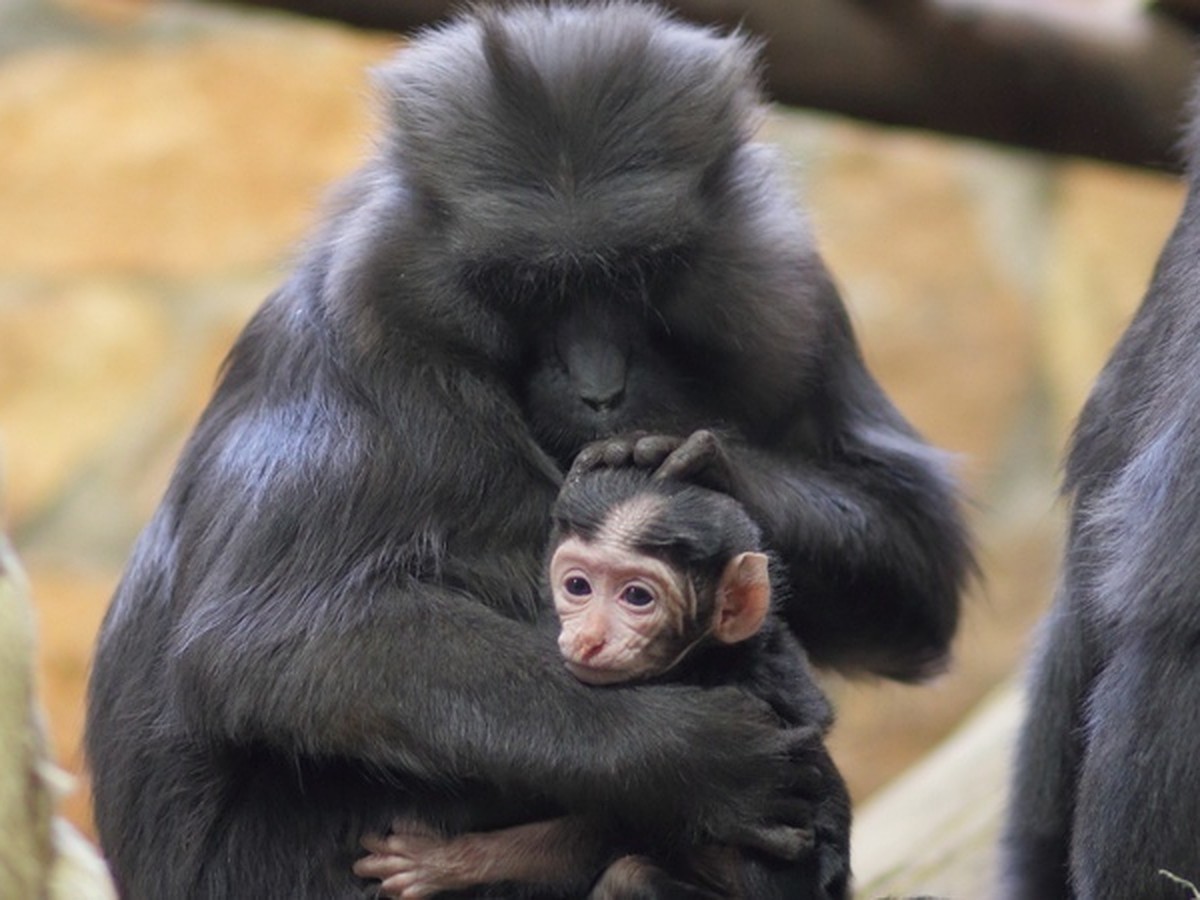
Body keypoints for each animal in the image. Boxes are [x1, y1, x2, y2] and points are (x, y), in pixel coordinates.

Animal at [355, 468, 854, 897]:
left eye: (636, 596)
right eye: (578, 586)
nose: (589, 637)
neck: (704, 661)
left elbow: (616, 830)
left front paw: (445, 864)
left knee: (628, 874)